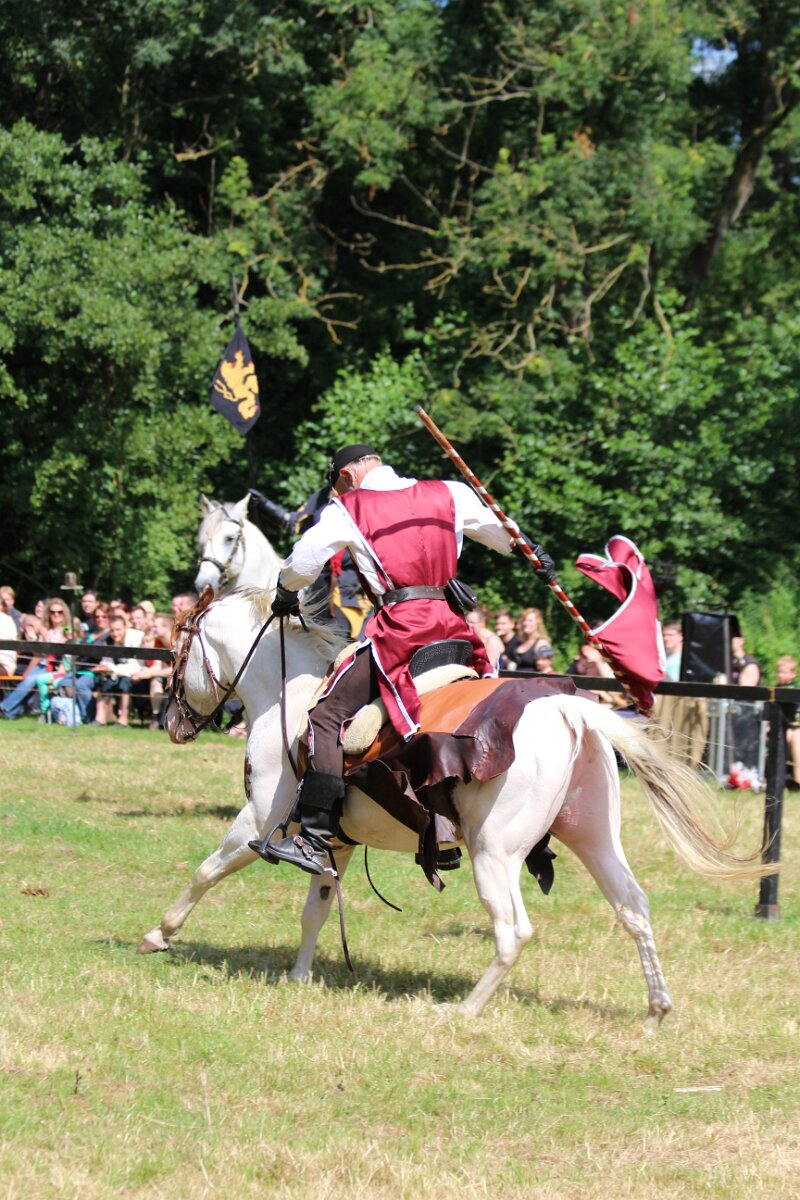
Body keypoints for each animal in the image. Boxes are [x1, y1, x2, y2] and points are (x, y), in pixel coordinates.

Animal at [141, 587, 770, 1030]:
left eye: (175, 649)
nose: (170, 721)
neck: (289, 700)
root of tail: (568, 708)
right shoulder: (331, 843)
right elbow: (315, 911)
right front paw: (298, 976)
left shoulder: (259, 822)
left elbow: (205, 872)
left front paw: (159, 933)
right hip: (593, 837)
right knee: (633, 907)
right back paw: (655, 1009)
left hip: (496, 855)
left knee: (513, 932)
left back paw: (465, 1010)